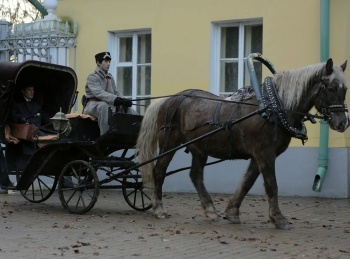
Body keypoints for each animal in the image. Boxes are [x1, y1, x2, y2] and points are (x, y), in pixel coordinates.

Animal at [135, 58, 348, 230]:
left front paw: (232, 212)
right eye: (330, 88)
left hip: (199, 148)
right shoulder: (265, 154)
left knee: (195, 175)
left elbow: (247, 182)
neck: (273, 108)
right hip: (169, 144)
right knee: (159, 171)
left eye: (345, 89)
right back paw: (159, 208)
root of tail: (168, 100)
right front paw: (279, 219)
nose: (343, 123)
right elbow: (271, 185)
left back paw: (209, 209)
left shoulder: (258, 156)